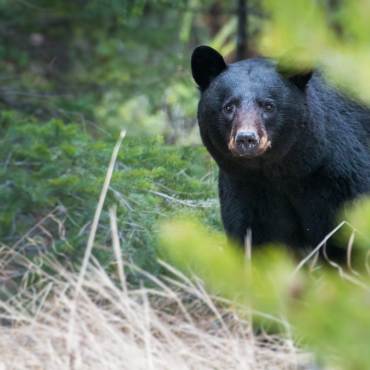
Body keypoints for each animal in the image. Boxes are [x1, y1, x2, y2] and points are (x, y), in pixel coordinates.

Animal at [192, 44, 370, 256]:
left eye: (268, 106)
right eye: (229, 107)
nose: (246, 138)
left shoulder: (339, 179)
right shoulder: (246, 188)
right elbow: (255, 237)